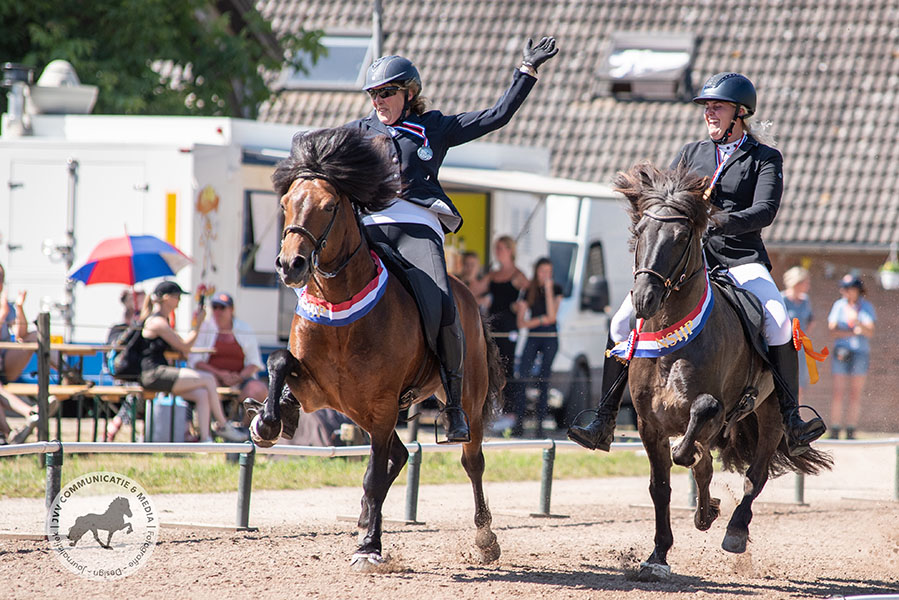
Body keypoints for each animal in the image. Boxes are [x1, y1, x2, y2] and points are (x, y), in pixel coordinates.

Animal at [250, 127, 506, 572]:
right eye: (285, 204)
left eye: (329, 206)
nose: (290, 265)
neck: (341, 302)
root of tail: (469, 296)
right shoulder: (317, 391)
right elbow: (279, 359)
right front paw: (268, 421)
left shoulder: (384, 406)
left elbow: (372, 474)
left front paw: (369, 548)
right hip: (358, 410)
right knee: (399, 457)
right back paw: (364, 519)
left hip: (461, 401)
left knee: (469, 460)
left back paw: (484, 538)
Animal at [616, 163, 832, 580]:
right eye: (641, 230)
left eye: (681, 236)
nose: (644, 299)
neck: (672, 338)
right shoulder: (648, 424)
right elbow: (661, 486)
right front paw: (658, 555)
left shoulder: (713, 411)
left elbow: (694, 444)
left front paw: (707, 504)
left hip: (771, 415)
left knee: (755, 476)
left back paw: (735, 531)